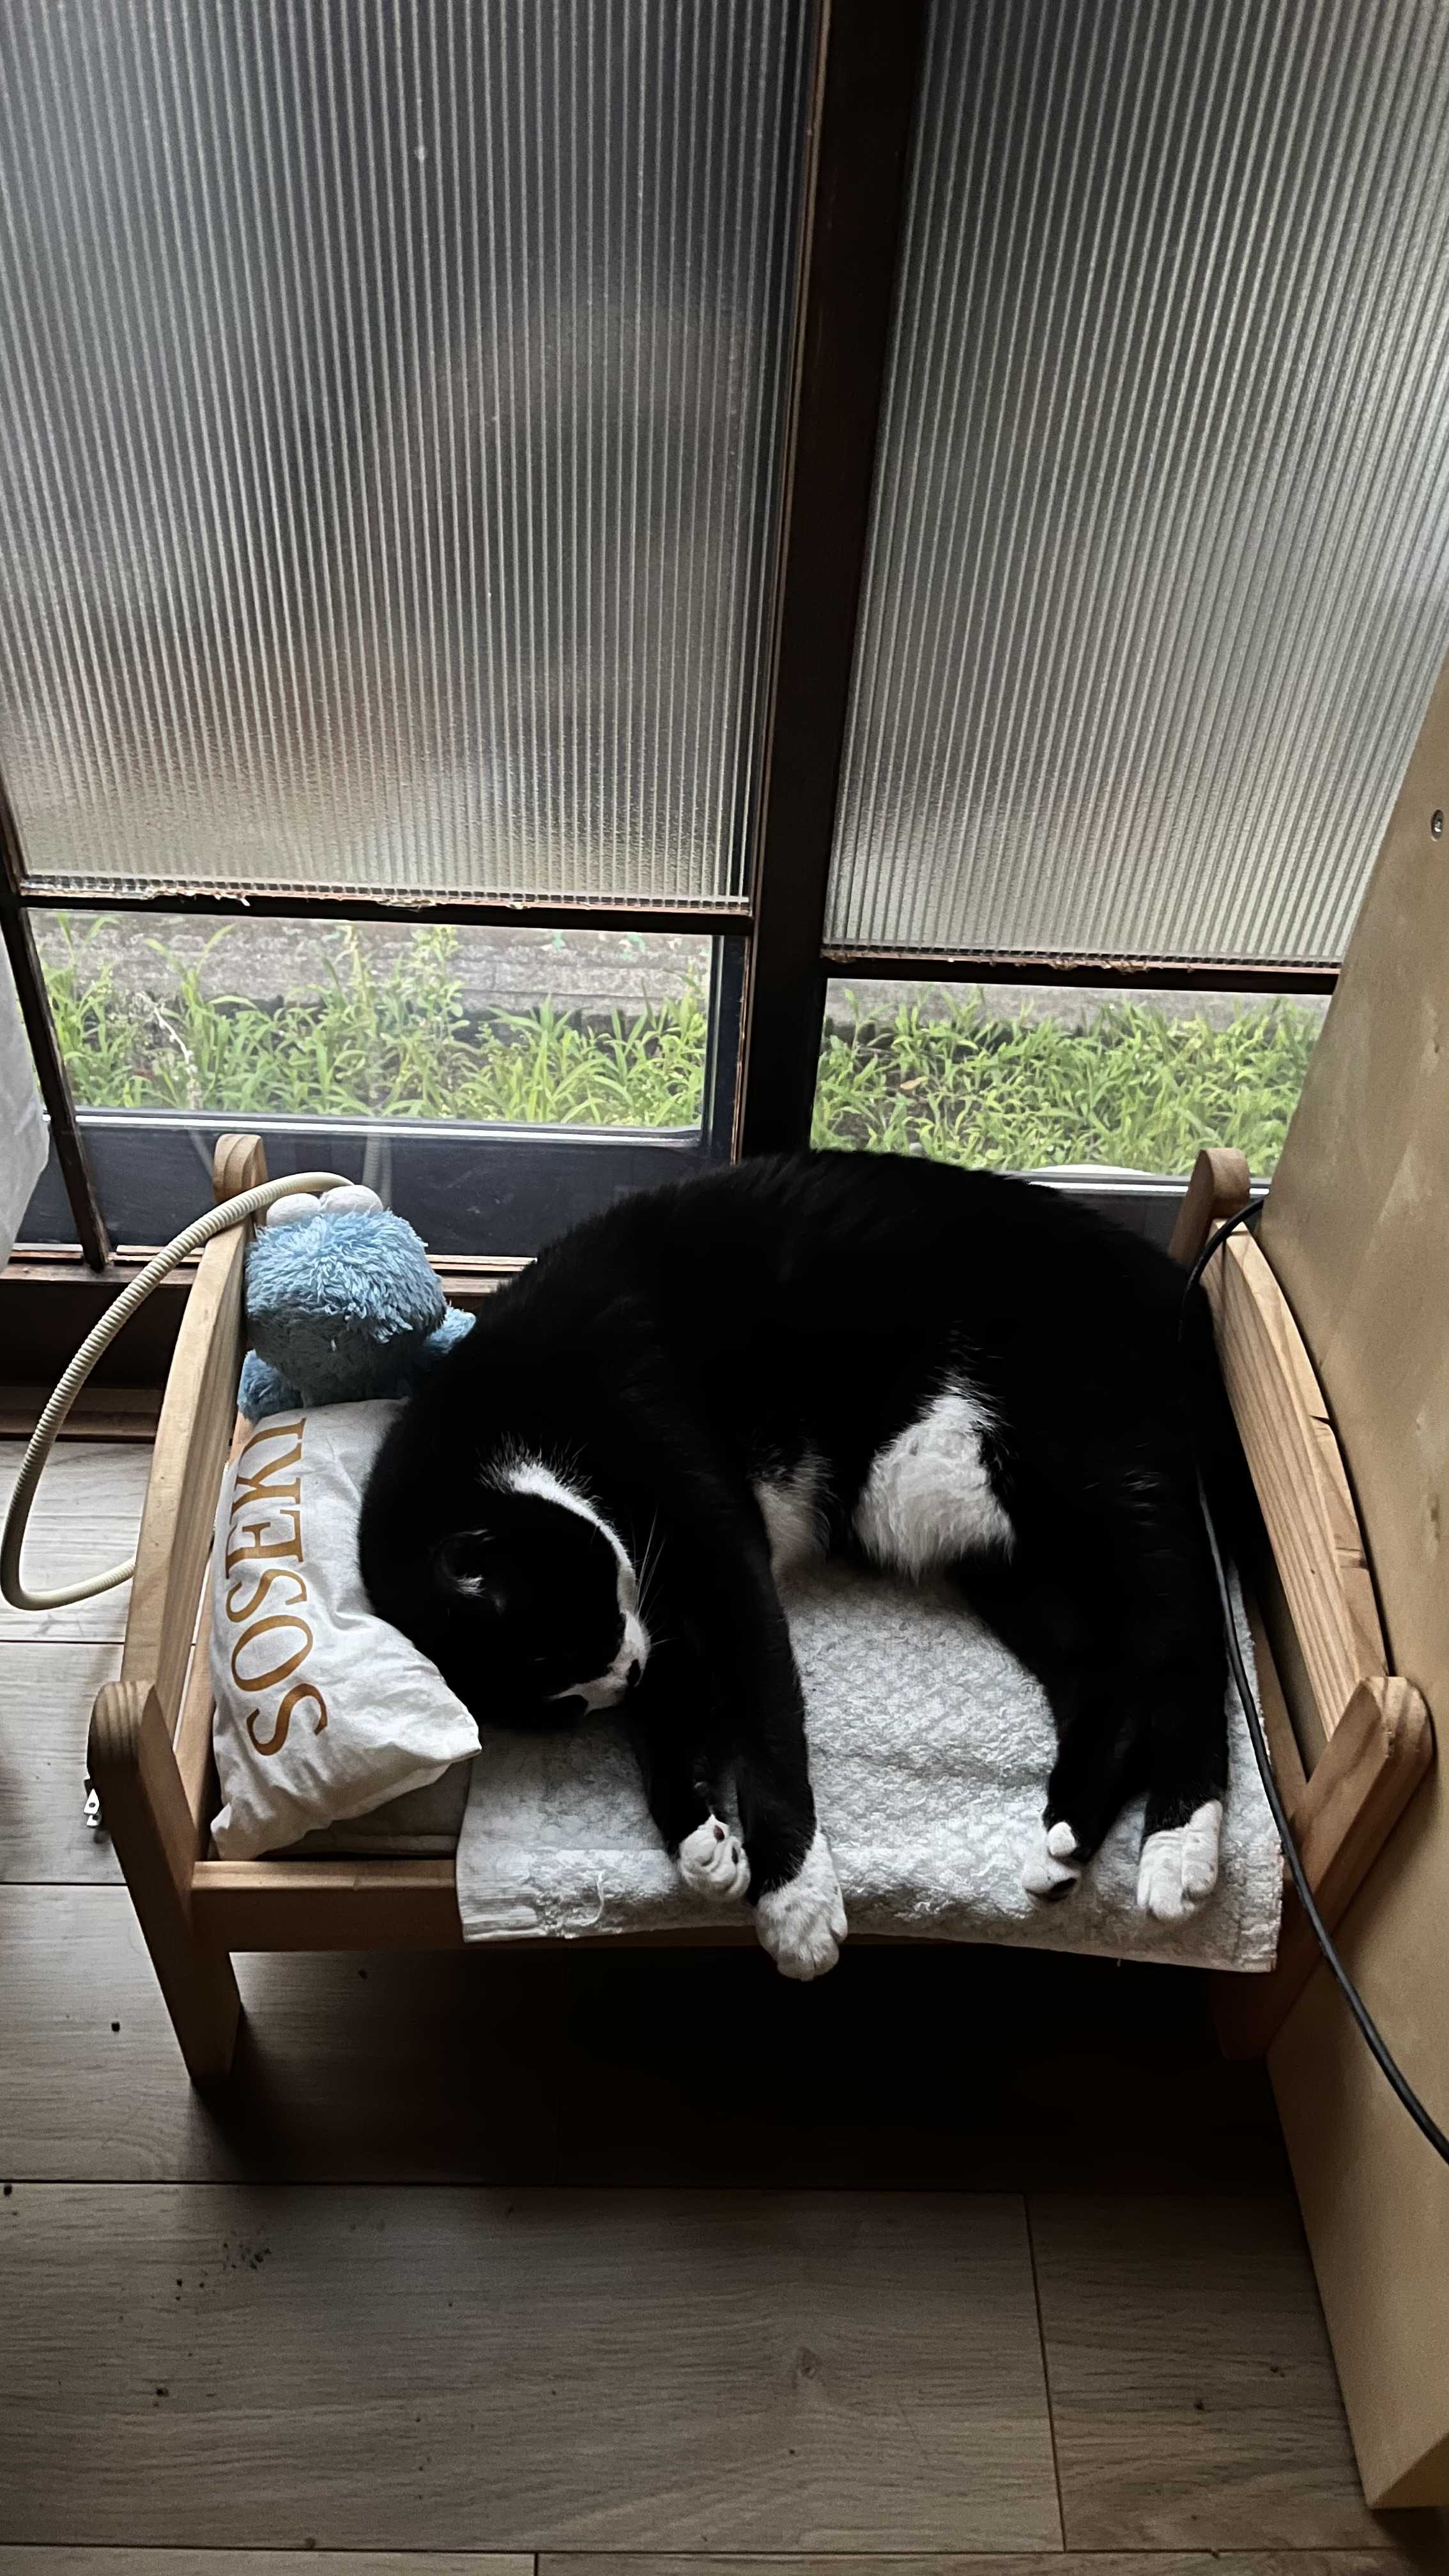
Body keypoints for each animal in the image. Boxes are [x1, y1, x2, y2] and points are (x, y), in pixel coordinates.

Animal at [358, 1149, 1230, 1978]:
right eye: (563, 1704)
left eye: (580, 1638)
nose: (624, 1675)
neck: (525, 1417)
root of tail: (1177, 1284)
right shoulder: (662, 1614)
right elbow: (673, 1722)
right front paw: (698, 1842)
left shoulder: (713, 1548)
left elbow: (764, 1722)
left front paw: (794, 1903)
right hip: (1006, 1552)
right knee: (1110, 1679)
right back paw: (1067, 1839)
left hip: (1103, 1472)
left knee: (1186, 1645)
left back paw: (1181, 1845)